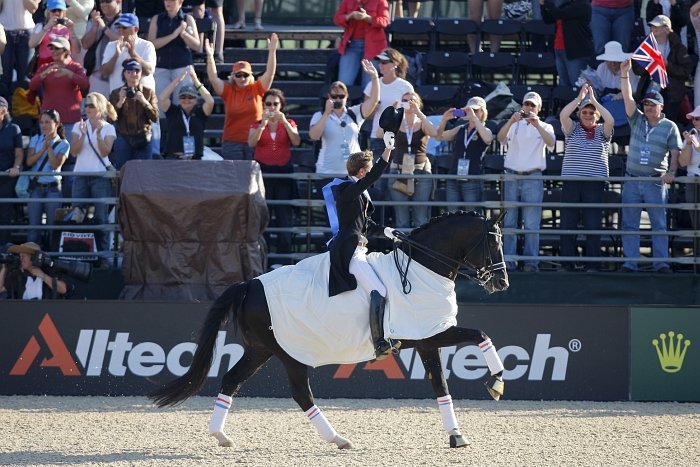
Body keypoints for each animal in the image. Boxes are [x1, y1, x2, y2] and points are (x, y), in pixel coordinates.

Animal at [148, 212, 508, 450]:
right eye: (493, 243)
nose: (501, 283)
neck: (422, 269)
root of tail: (249, 284)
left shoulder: (427, 340)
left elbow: (441, 387)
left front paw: (456, 435)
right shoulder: (433, 334)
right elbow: (482, 336)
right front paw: (496, 383)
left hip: (260, 350)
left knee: (231, 380)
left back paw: (220, 435)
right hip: (290, 353)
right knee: (300, 393)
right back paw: (338, 438)